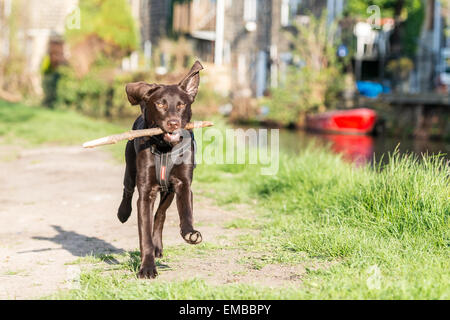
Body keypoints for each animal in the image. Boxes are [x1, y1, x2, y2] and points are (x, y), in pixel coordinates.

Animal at [118, 61, 205, 278]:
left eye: (181, 105)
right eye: (160, 104)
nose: (173, 123)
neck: (165, 149)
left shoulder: (183, 184)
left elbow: (186, 213)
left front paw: (190, 233)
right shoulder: (146, 192)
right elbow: (144, 235)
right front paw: (147, 268)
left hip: (168, 191)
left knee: (160, 215)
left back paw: (159, 245)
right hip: (130, 167)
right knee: (127, 189)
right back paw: (123, 213)